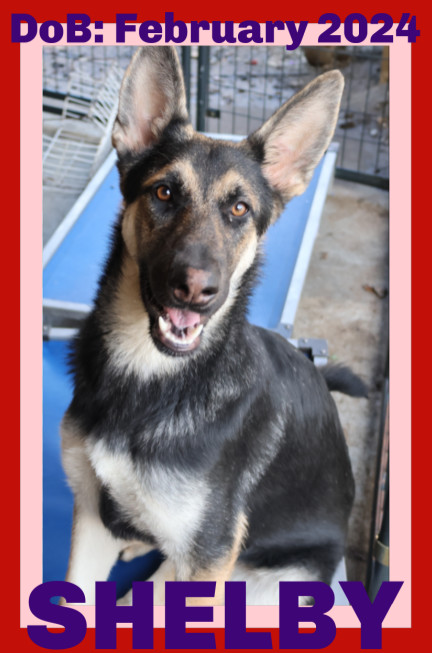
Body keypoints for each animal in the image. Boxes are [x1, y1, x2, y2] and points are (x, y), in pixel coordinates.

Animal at [60, 47, 364, 608]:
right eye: (164, 193)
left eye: (239, 209)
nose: (195, 290)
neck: (151, 379)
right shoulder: (90, 515)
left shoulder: (207, 554)